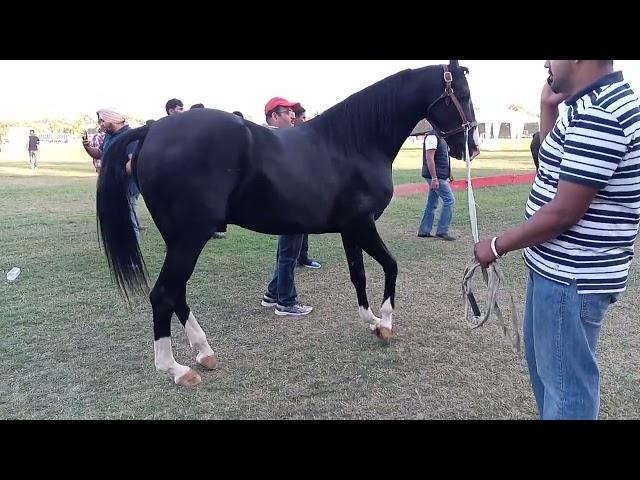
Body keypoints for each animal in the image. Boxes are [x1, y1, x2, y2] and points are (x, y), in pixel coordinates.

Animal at [97, 60, 478, 384]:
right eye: (461, 94)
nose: (470, 147)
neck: (352, 144)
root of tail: (151, 131)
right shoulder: (363, 225)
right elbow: (391, 266)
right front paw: (384, 323)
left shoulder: (350, 229)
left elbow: (358, 274)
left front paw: (370, 321)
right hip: (190, 238)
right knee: (163, 294)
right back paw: (176, 369)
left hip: (179, 240)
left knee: (177, 293)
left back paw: (204, 352)